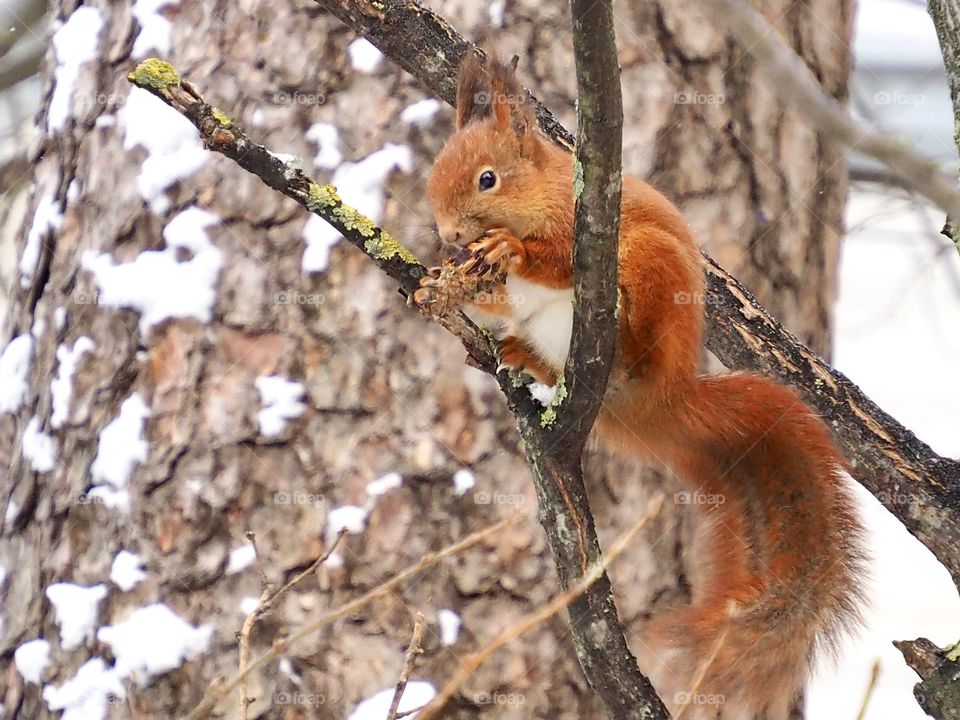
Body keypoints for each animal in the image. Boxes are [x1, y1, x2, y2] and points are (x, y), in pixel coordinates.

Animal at [413, 56, 866, 720]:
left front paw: (508, 249)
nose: (447, 234)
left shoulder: (581, 228)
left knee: (634, 334)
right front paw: (438, 284)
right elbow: (497, 296)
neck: (542, 190)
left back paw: (621, 343)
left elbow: (556, 261)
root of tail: (667, 399)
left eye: (487, 179)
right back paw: (523, 358)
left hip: (650, 267)